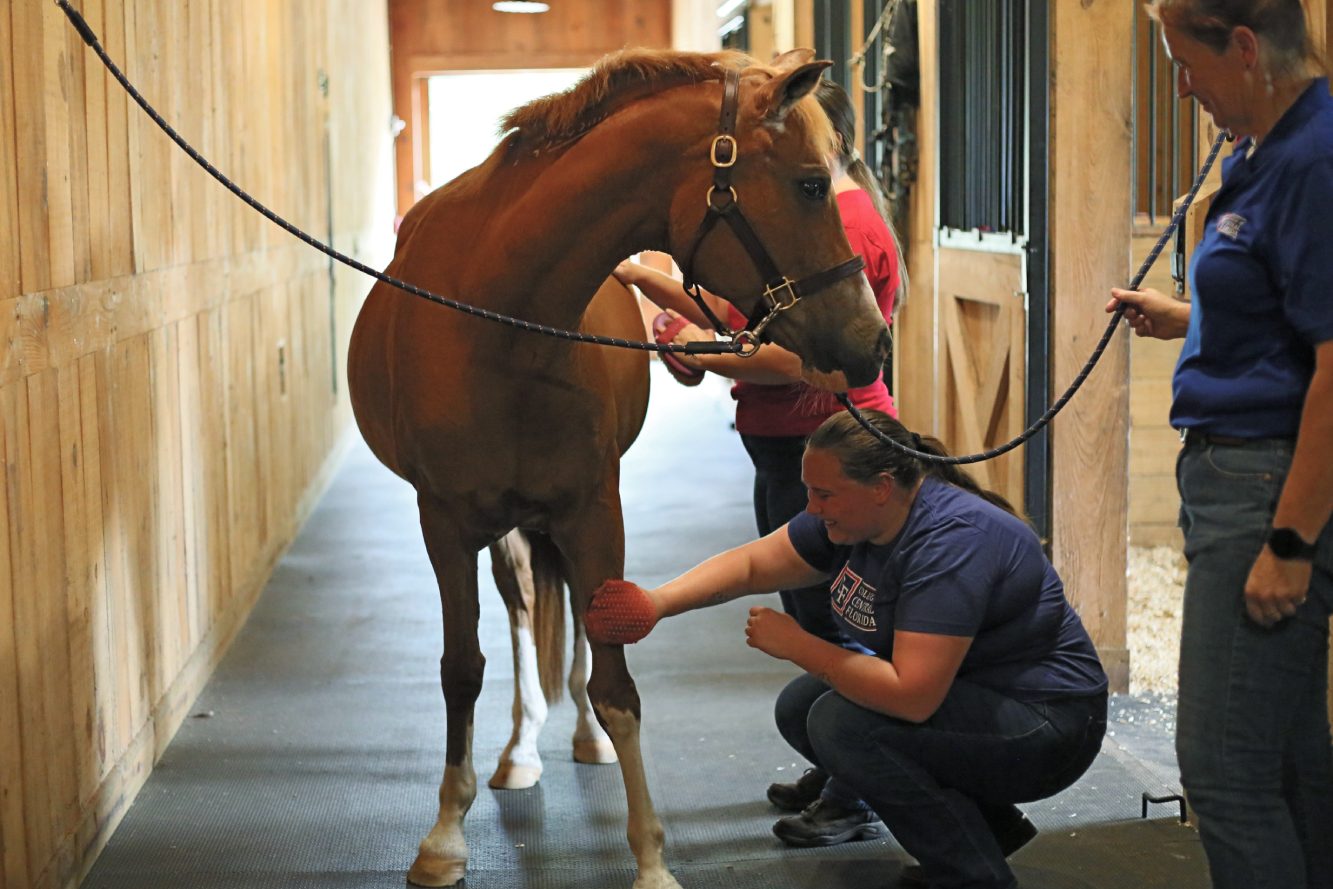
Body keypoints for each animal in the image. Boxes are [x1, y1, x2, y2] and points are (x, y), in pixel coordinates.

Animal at [349, 50, 890, 889]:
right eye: (808, 184)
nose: (873, 340)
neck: (498, 322)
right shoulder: (444, 522)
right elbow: (461, 667)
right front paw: (443, 837)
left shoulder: (593, 510)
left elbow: (615, 679)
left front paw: (650, 856)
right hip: (502, 530)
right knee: (519, 612)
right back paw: (520, 748)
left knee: (567, 611)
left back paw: (578, 737)